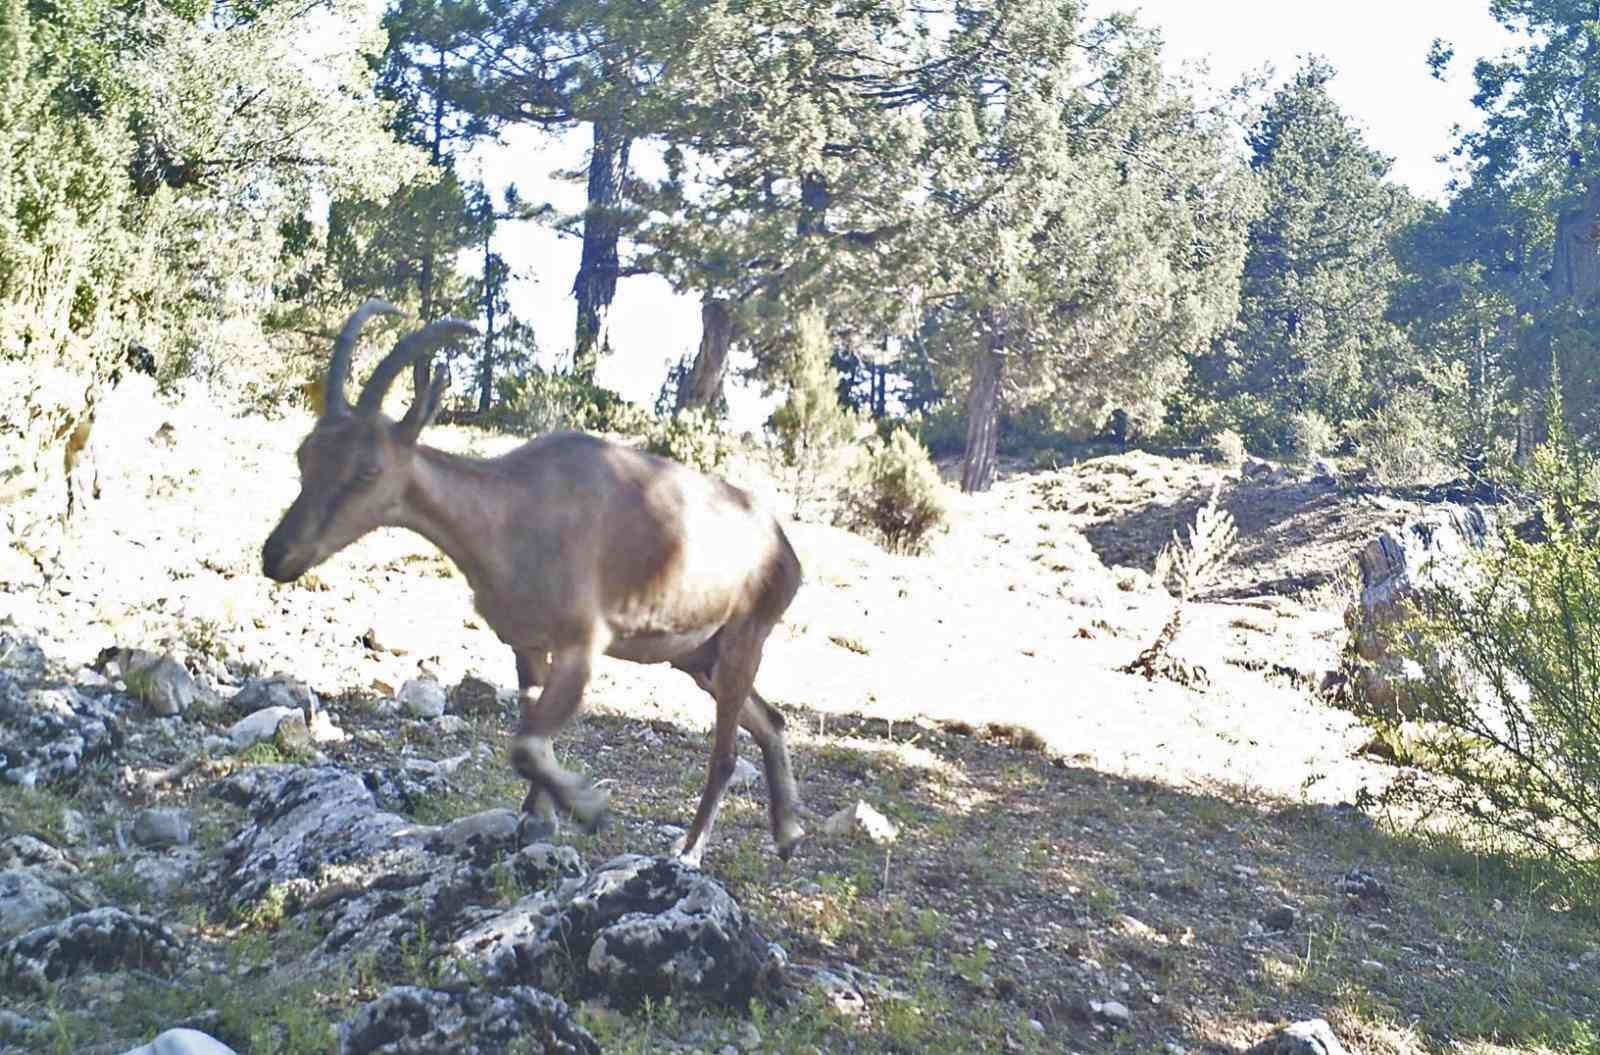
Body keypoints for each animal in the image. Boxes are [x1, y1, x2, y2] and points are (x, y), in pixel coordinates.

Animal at [268, 299, 812, 864]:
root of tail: (785, 547)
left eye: (367, 470)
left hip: (746, 637)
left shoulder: (582, 645)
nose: (276, 556)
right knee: (771, 719)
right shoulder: (527, 646)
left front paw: (590, 807)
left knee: (726, 753)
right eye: (305, 454)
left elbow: (527, 745)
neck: (513, 512)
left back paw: (690, 851)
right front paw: (537, 820)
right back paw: (788, 834)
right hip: (698, 658)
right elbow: (533, 740)